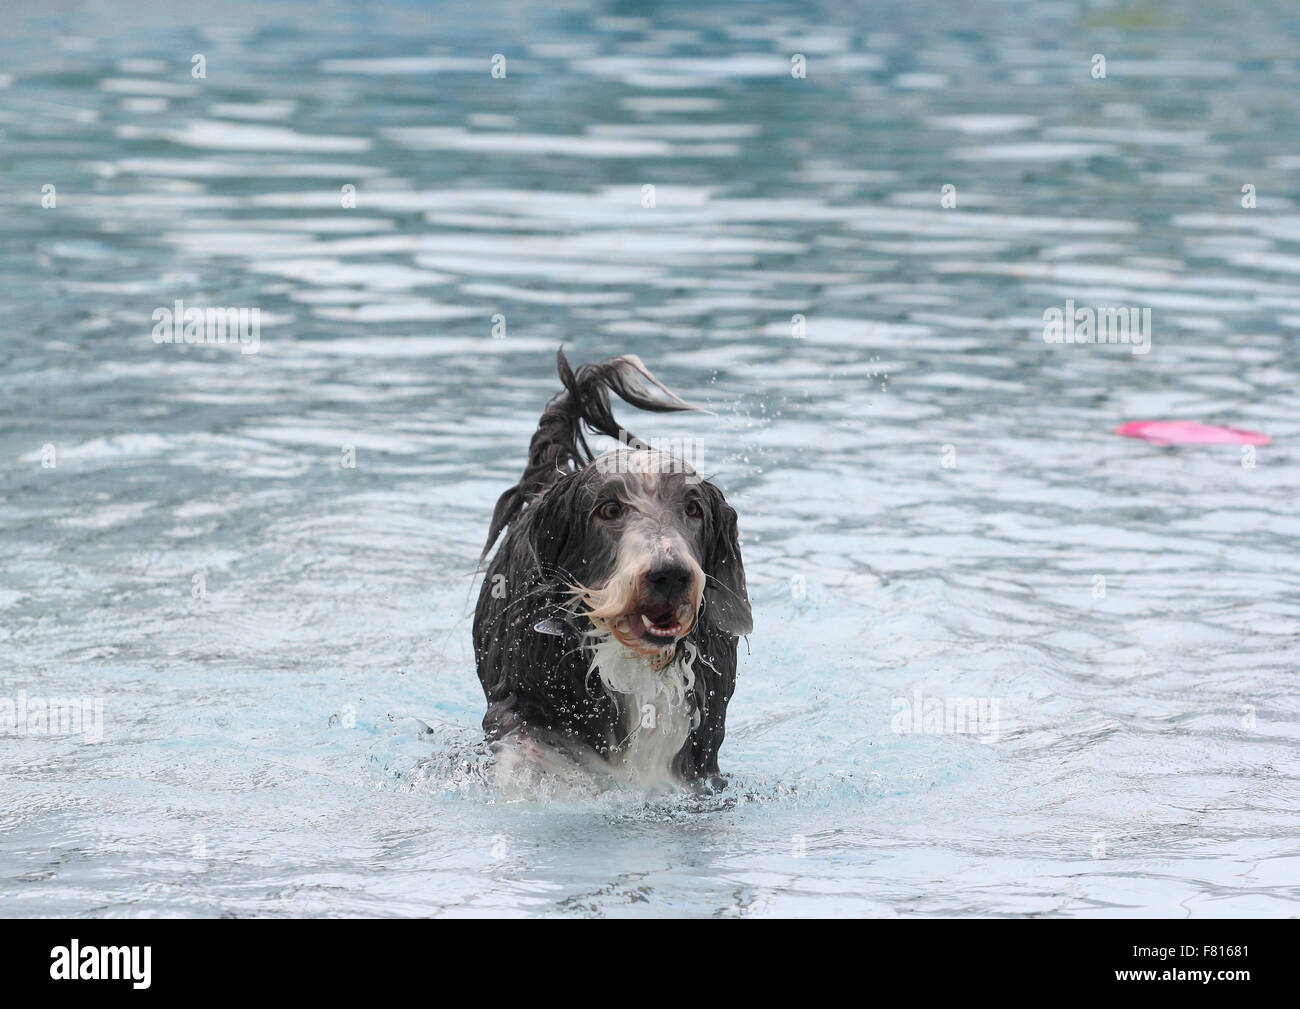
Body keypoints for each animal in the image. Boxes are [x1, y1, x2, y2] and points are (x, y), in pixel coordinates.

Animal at [475, 351, 754, 790]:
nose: (670, 575)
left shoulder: (702, 746)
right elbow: (523, 747)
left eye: (693, 508)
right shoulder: (522, 696)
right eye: (608, 509)